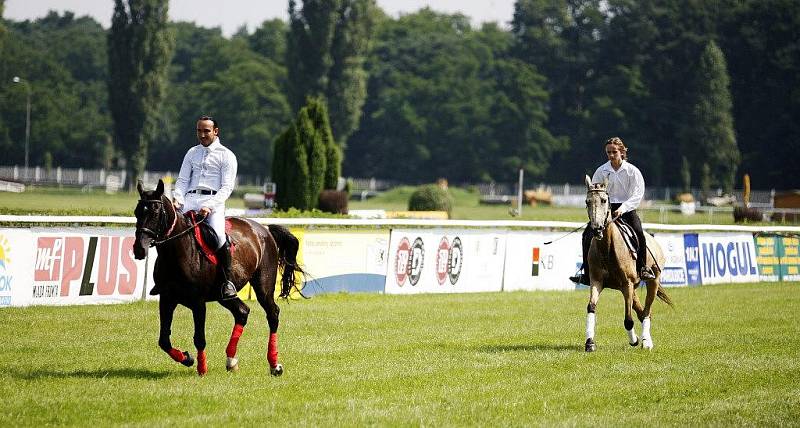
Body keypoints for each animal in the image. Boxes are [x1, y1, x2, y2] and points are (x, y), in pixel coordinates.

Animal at [134, 179, 304, 376]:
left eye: (155, 212)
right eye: (137, 212)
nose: (139, 249)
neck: (177, 251)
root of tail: (264, 229)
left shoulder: (198, 303)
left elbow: (199, 338)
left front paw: (202, 369)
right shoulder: (167, 298)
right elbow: (163, 340)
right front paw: (187, 358)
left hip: (263, 288)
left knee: (272, 314)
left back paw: (274, 364)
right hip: (224, 295)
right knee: (242, 312)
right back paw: (231, 361)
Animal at [584, 176, 672, 352]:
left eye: (604, 200)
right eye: (587, 201)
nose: (597, 229)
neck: (607, 248)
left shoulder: (627, 284)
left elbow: (628, 319)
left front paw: (634, 340)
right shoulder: (597, 281)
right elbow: (591, 307)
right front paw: (589, 342)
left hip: (653, 281)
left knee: (647, 311)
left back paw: (646, 341)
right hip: (633, 288)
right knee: (642, 312)